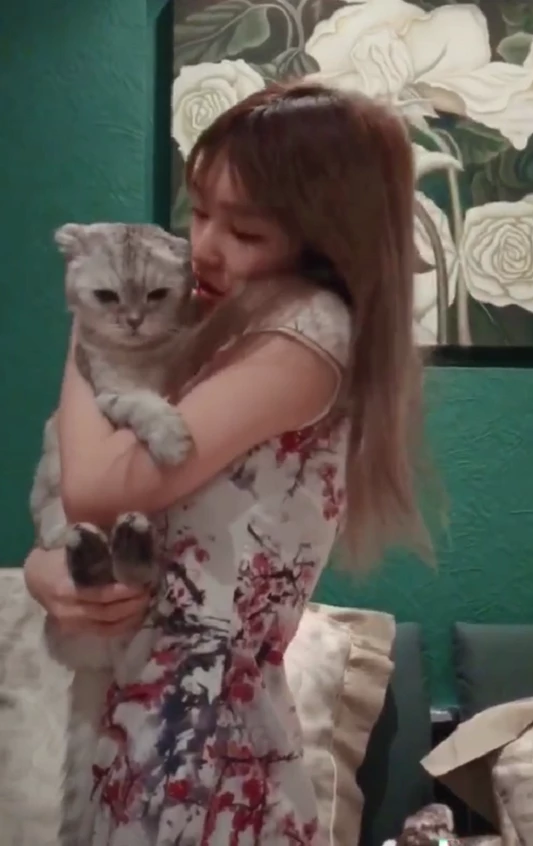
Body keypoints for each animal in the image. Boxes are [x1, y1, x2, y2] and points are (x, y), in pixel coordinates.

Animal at [29, 221, 196, 845]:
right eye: (107, 296)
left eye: (154, 295)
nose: (132, 321)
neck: (143, 358)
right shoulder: (109, 395)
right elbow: (143, 403)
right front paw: (169, 434)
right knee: (92, 564)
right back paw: (92, 547)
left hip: (138, 622)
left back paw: (126, 544)